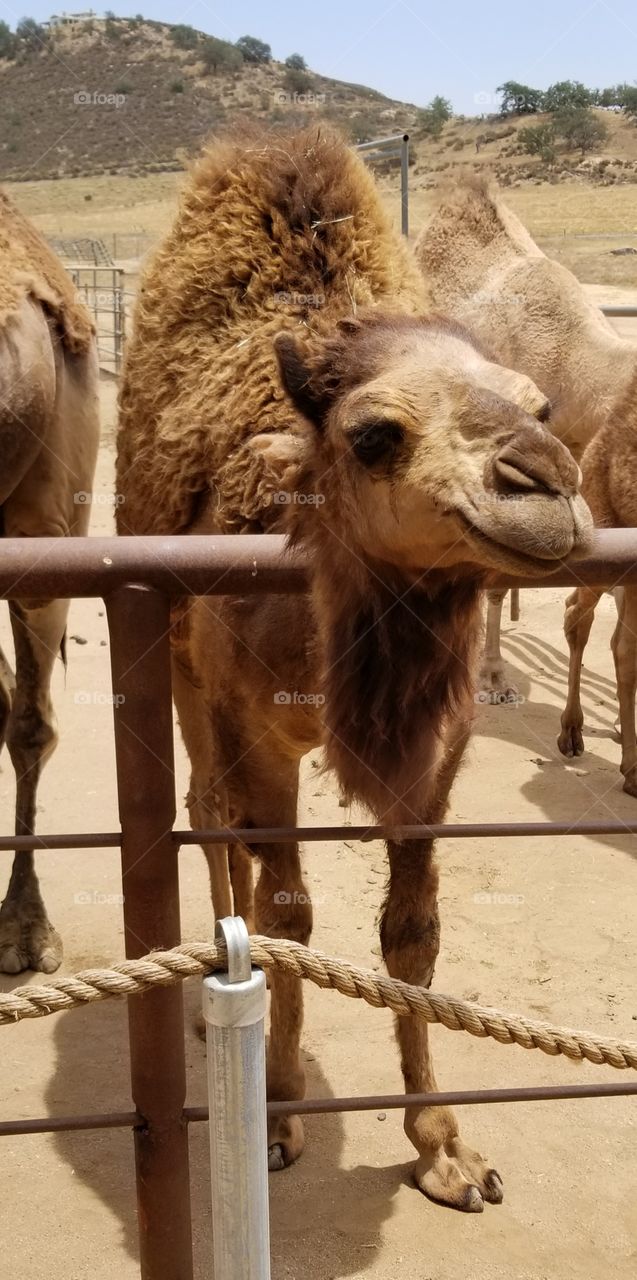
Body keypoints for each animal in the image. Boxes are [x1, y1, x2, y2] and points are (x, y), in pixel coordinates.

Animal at [116, 127, 592, 1211]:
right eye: (376, 434)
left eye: (542, 405)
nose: (544, 487)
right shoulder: (255, 721)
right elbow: (287, 911)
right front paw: (279, 1111)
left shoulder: (439, 748)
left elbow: (412, 928)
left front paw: (441, 1146)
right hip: (183, 666)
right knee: (211, 814)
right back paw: (211, 996)